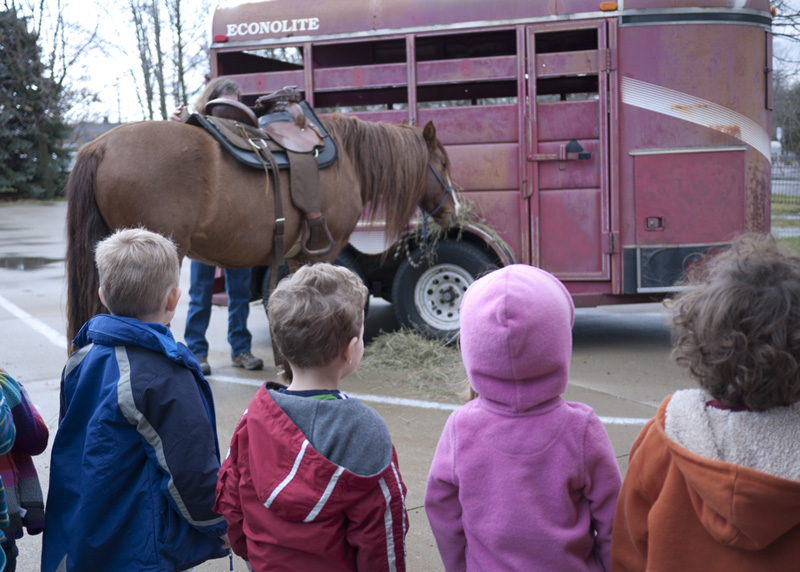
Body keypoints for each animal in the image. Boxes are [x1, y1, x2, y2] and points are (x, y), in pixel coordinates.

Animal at [64, 114, 458, 346]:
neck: (346, 158)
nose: (453, 212)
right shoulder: (322, 253)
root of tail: (99, 146)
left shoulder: (292, 256)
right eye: (441, 163)